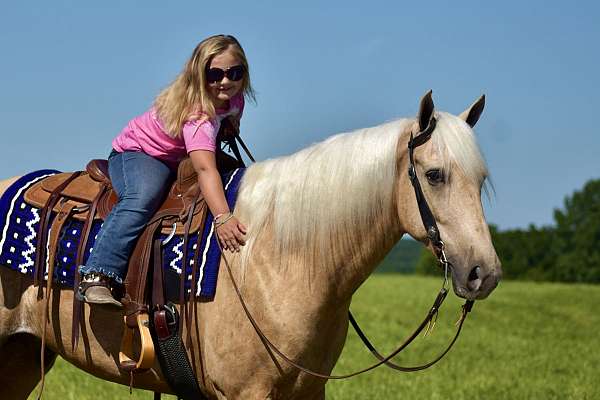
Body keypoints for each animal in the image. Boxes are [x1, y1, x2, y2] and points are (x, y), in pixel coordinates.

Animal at [0, 92, 502, 398]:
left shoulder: (308, 390)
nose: (485, 273)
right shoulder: (246, 392)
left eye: (481, 180)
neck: (281, 257)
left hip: (22, 357)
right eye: (435, 175)